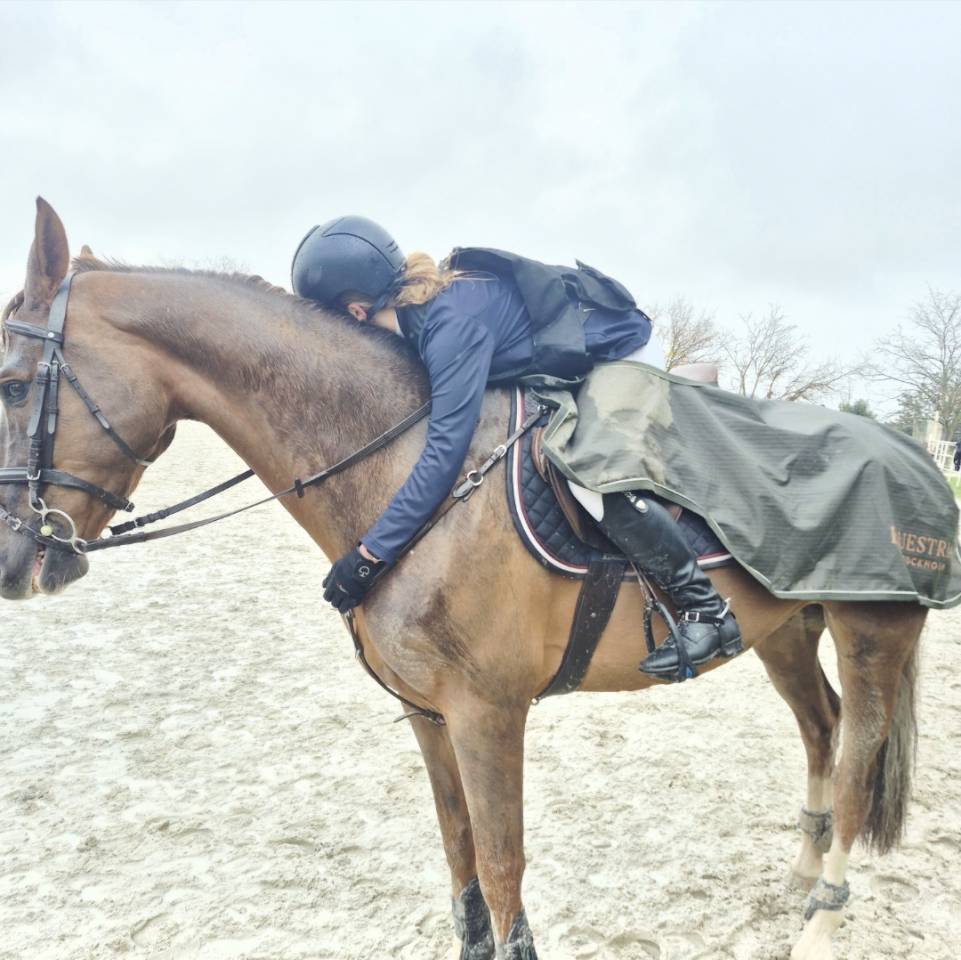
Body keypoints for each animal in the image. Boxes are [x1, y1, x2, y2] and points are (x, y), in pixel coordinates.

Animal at [0, 199, 925, 960]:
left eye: (9, 386)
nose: (14, 564)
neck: (407, 471)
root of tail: (908, 452)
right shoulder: (429, 716)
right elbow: (463, 867)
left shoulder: (489, 715)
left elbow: (503, 871)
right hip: (785, 629)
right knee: (821, 730)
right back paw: (800, 877)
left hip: (871, 633)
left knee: (854, 768)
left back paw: (821, 923)